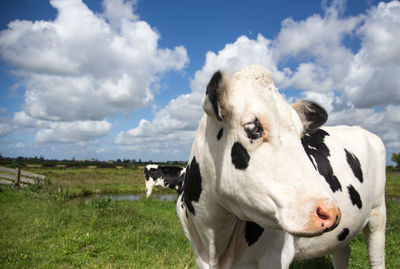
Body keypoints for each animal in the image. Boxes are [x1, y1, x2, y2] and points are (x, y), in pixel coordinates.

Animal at [177, 65, 386, 268]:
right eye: (253, 128)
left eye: (300, 134)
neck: (213, 241)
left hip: (377, 213)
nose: (329, 212)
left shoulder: (275, 256)